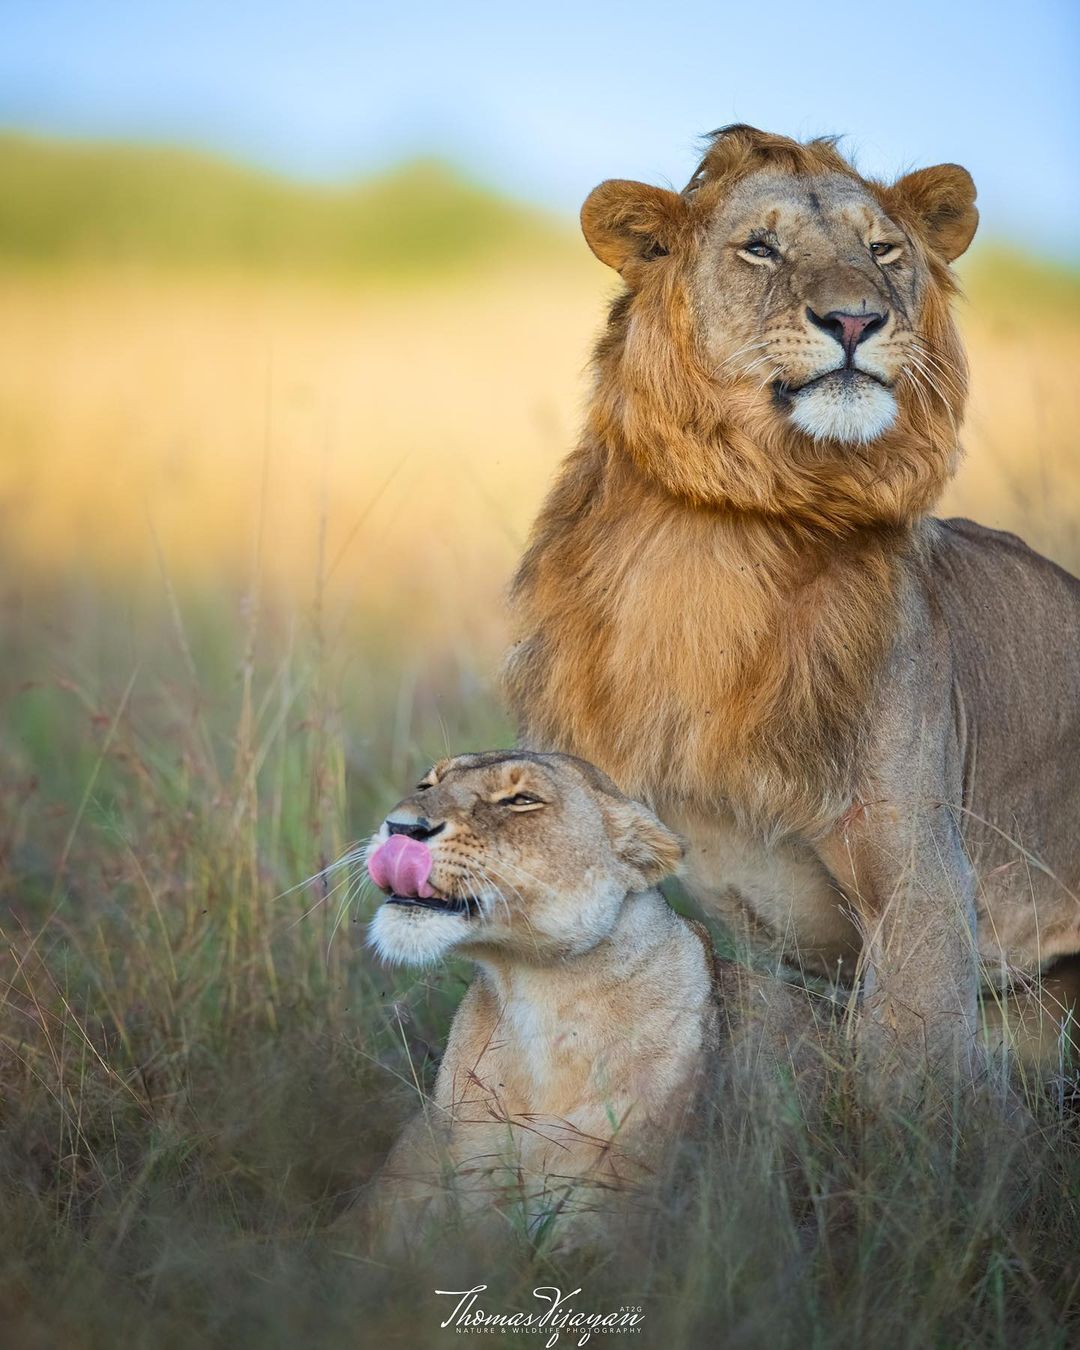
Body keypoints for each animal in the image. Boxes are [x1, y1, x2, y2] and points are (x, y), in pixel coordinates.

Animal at [504, 125, 1080, 1079]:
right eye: (761, 248)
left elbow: (910, 1087)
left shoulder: (922, 878)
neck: (733, 534)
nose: (855, 320)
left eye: (882, 252)